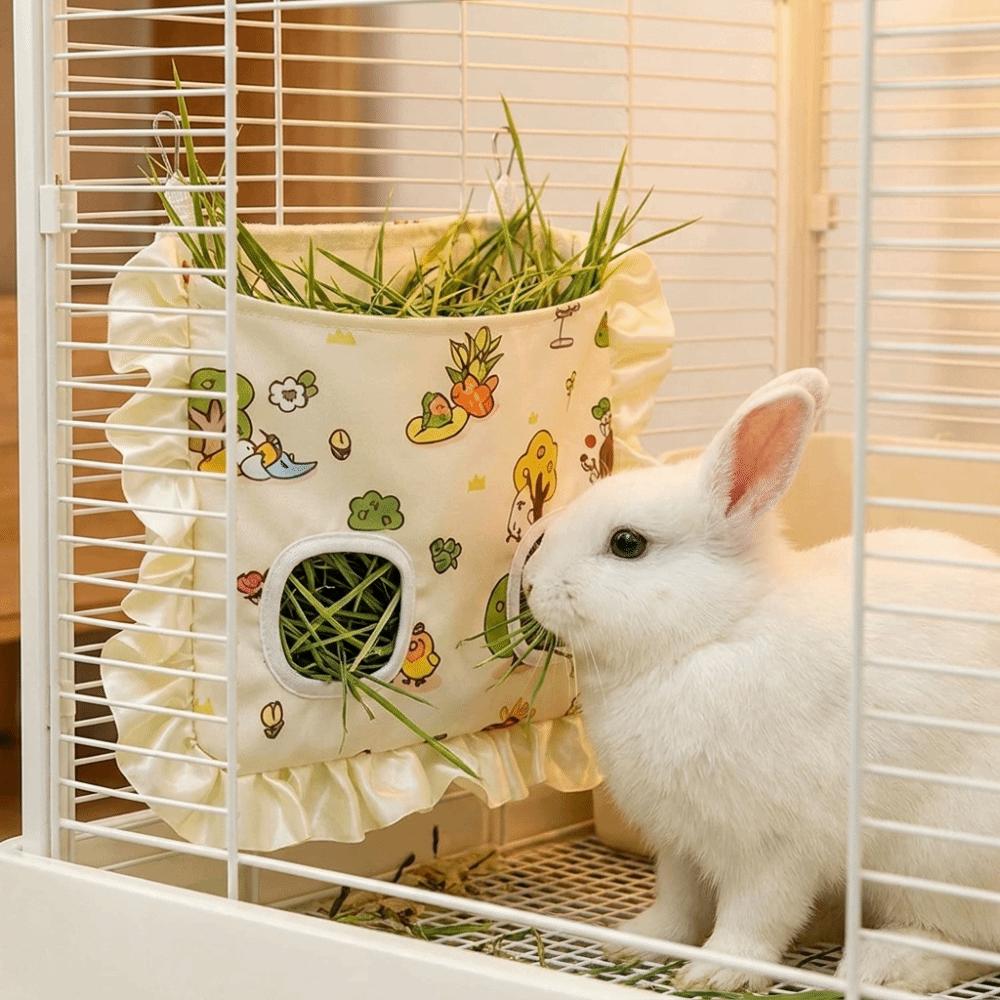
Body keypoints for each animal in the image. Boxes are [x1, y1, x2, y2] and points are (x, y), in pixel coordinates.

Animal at [522, 368, 1000, 994]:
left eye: (628, 543)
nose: (530, 585)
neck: (712, 636)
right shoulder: (680, 843)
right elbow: (679, 905)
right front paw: (635, 940)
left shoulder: (773, 848)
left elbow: (755, 916)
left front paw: (717, 972)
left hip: (937, 859)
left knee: (964, 943)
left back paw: (882, 964)